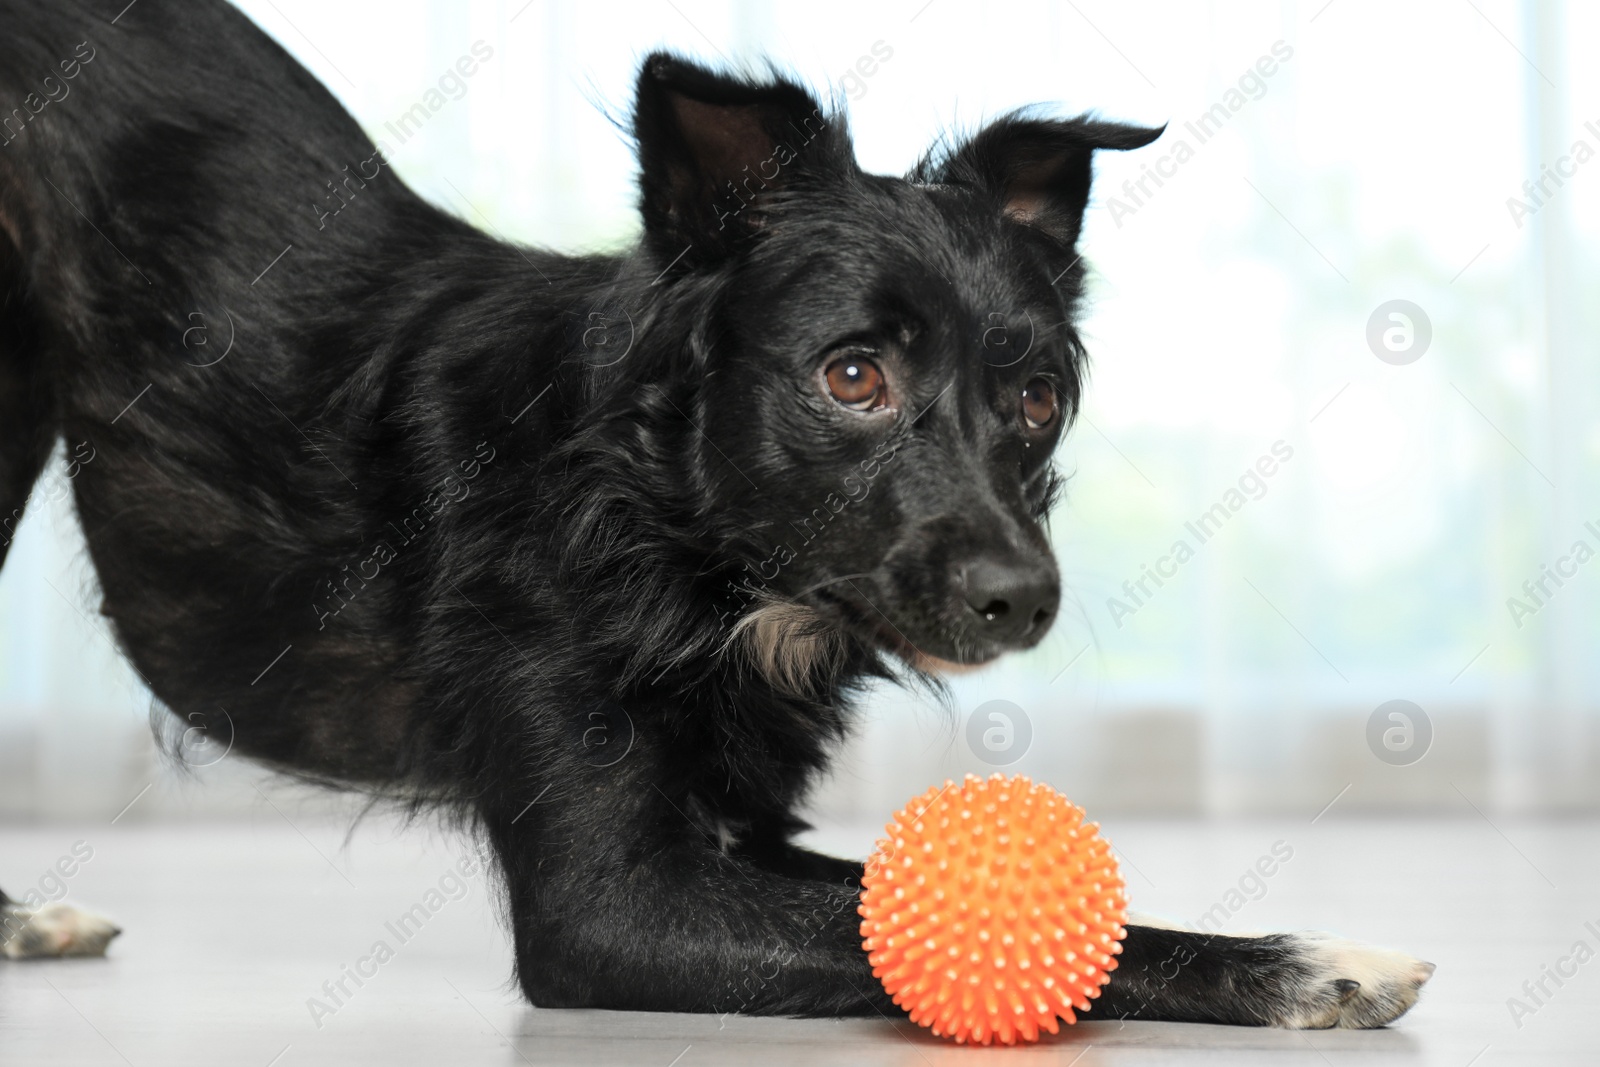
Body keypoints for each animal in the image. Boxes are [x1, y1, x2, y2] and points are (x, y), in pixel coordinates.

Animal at [0, 2, 1427, 1036]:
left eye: (1035, 398)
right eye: (851, 375)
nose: (1023, 597)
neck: (672, 528)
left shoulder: (740, 833)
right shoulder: (610, 909)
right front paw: (1308, 962)